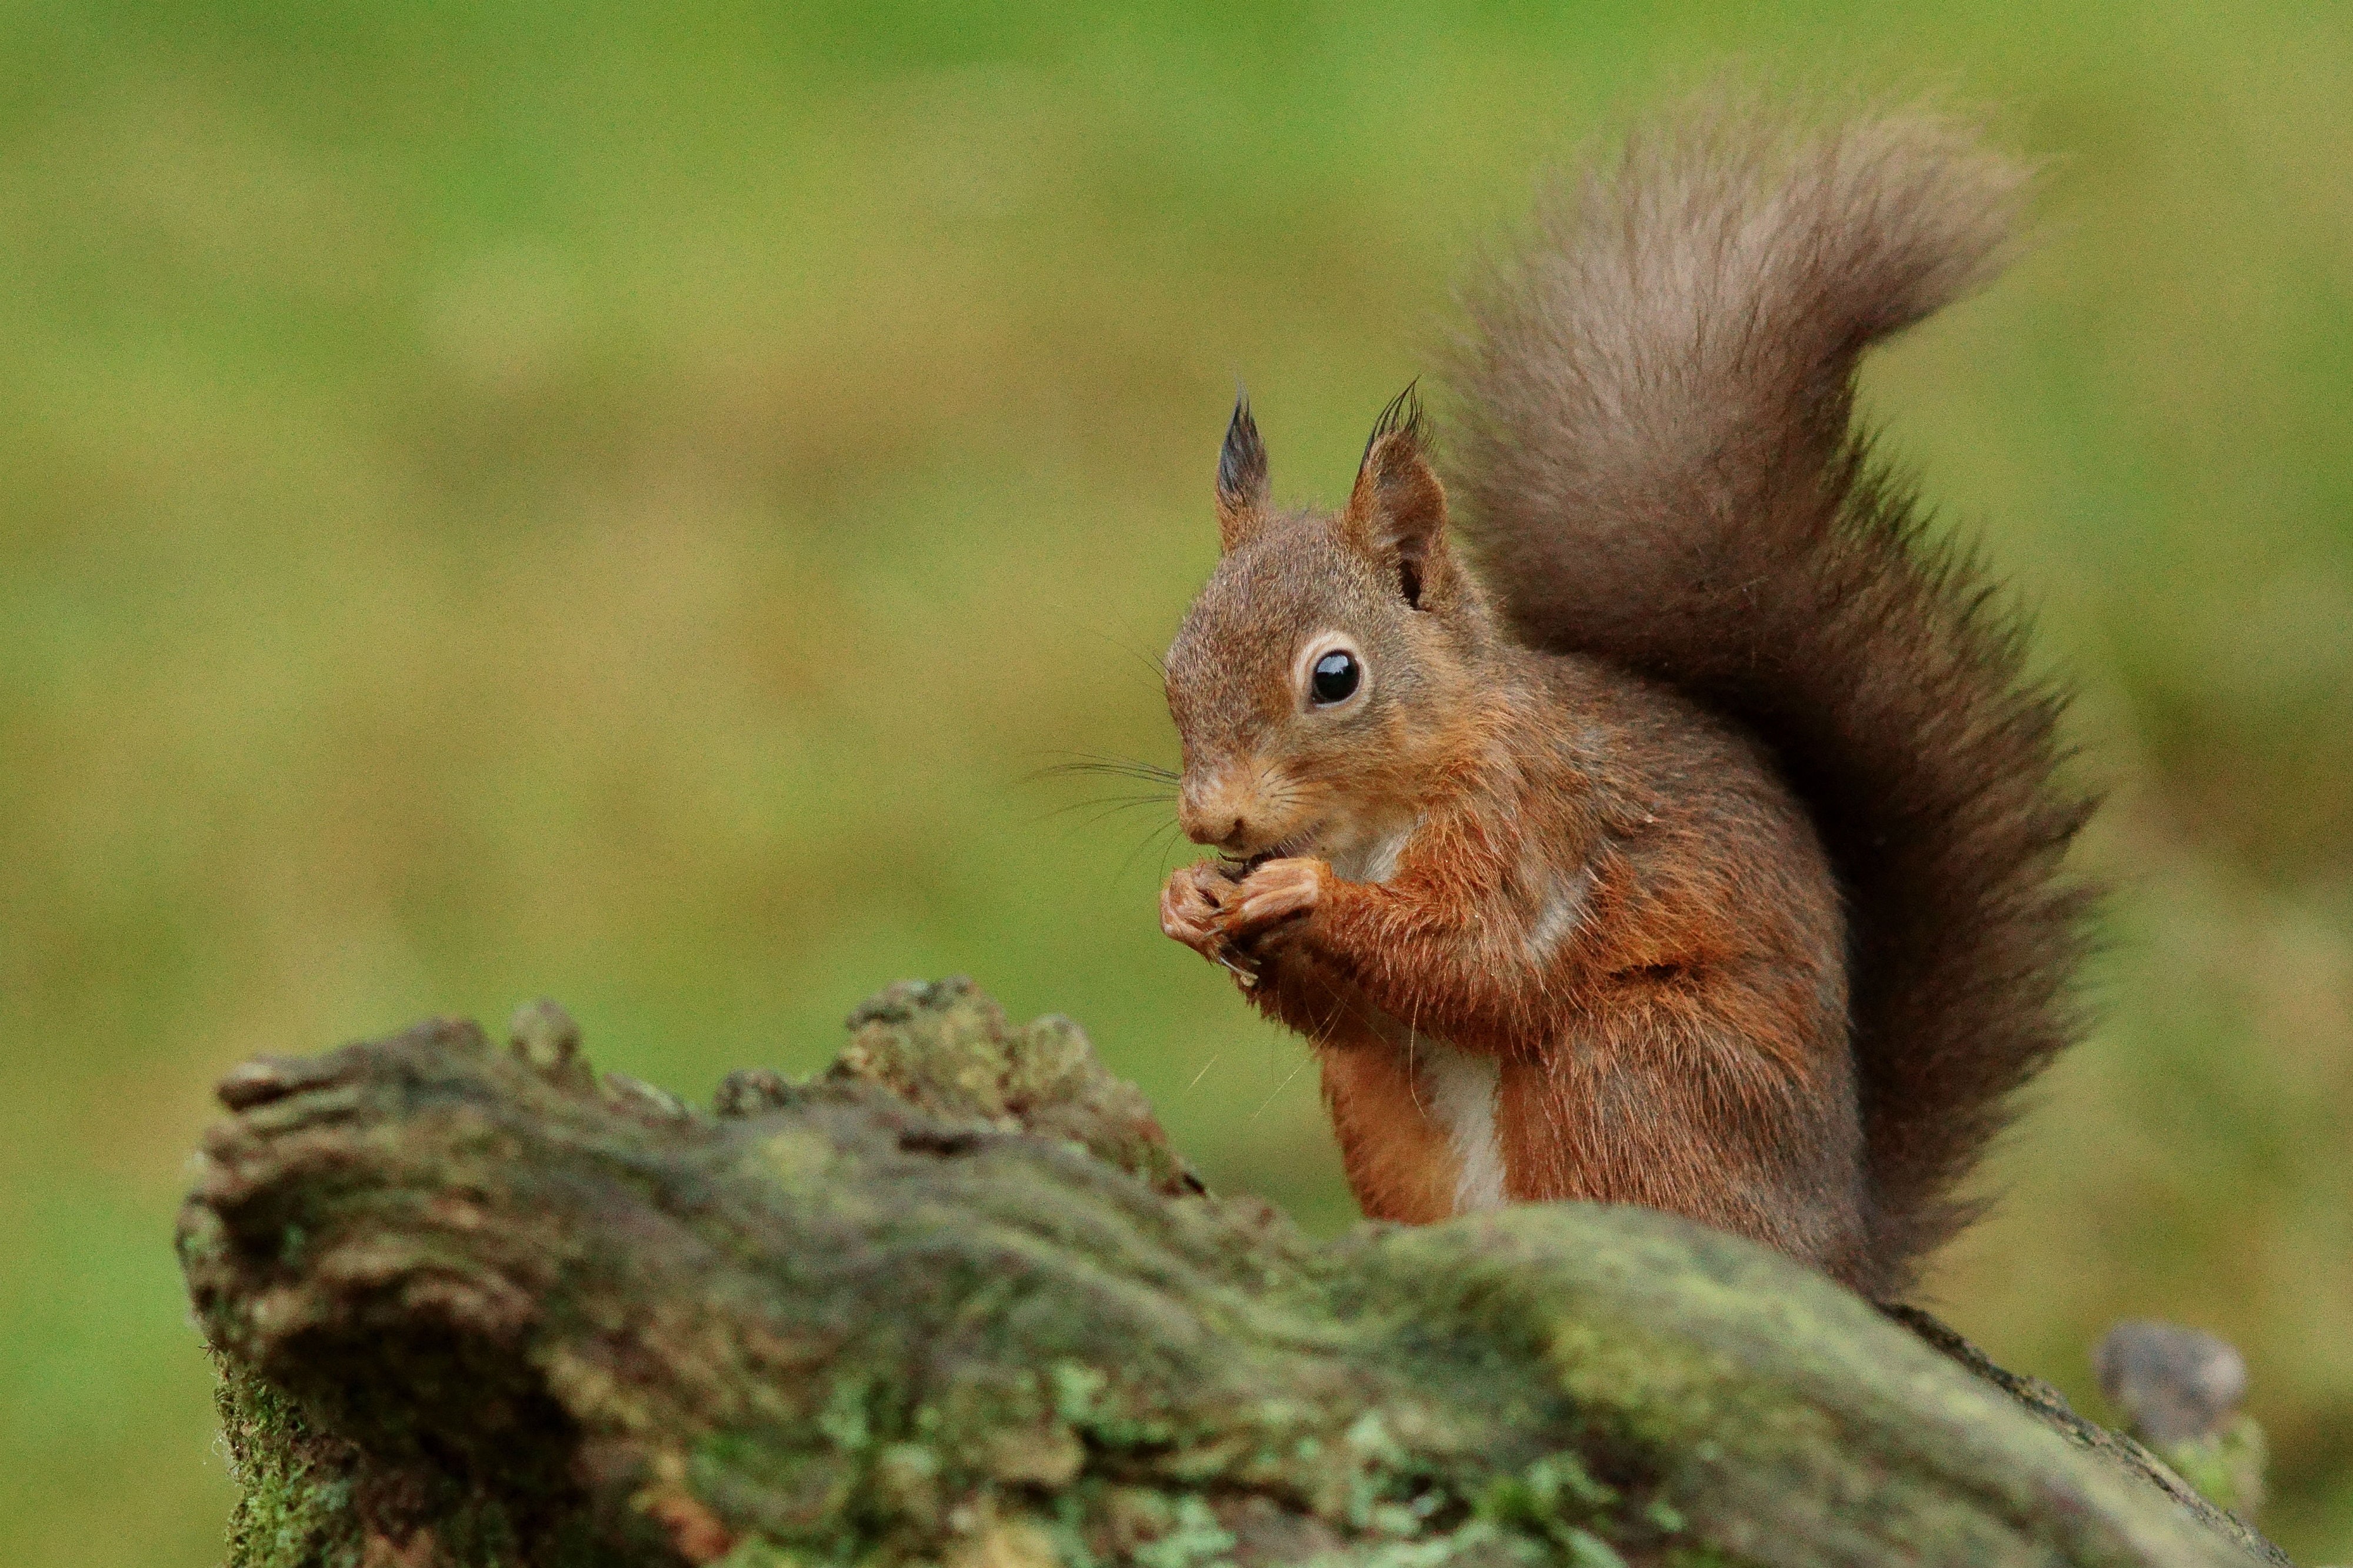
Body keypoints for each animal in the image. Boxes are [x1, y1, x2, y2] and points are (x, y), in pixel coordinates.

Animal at [1155, 106, 2093, 1299]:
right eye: (1173, 663)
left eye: (1335, 676)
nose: (1213, 819)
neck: (1379, 814)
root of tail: (1842, 1255)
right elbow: (1358, 1013)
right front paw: (1191, 900)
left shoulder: (1535, 821)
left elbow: (1480, 959)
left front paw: (1300, 891)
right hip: (1391, 1112)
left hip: (1630, 1074)